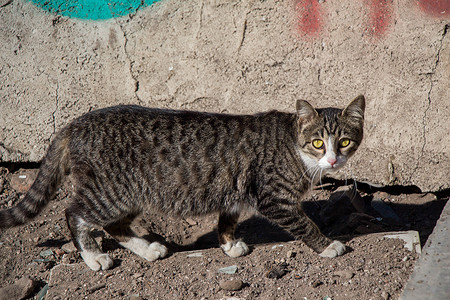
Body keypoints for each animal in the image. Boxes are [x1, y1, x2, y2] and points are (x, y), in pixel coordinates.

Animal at [0, 95, 366, 272]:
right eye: (318, 143)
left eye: (344, 142)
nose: (333, 160)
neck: (293, 146)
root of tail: (75, 123)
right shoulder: (273, 197)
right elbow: (304, 223)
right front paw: (327, 245)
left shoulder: (236, 189)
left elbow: (227, 218)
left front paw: (229, 244)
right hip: (110, 191)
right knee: (75, 213)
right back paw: (93, 257)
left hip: (129, 193)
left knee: (115, 225)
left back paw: (147, 249)